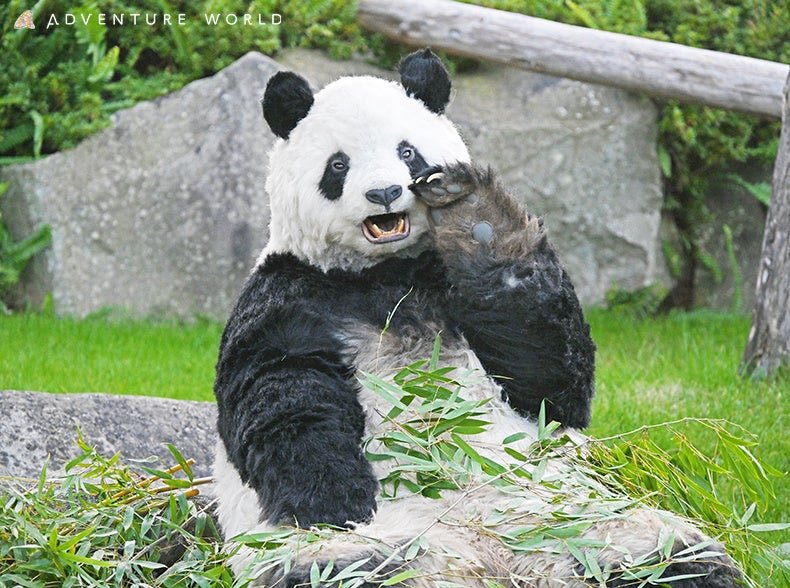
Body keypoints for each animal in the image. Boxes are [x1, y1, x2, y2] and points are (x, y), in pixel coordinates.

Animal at [212, 49, 739, 587]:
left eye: (408, 152)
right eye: (338, 165)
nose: (384, 193)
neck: (383, 273)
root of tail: (495, 558)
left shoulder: (444, 284)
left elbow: (547, 380)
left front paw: (474, 216)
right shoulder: (289, 295)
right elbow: (283, 394)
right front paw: (333, 496)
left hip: (575, 516)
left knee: (668, 557)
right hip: (371, 546)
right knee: (347, 568)